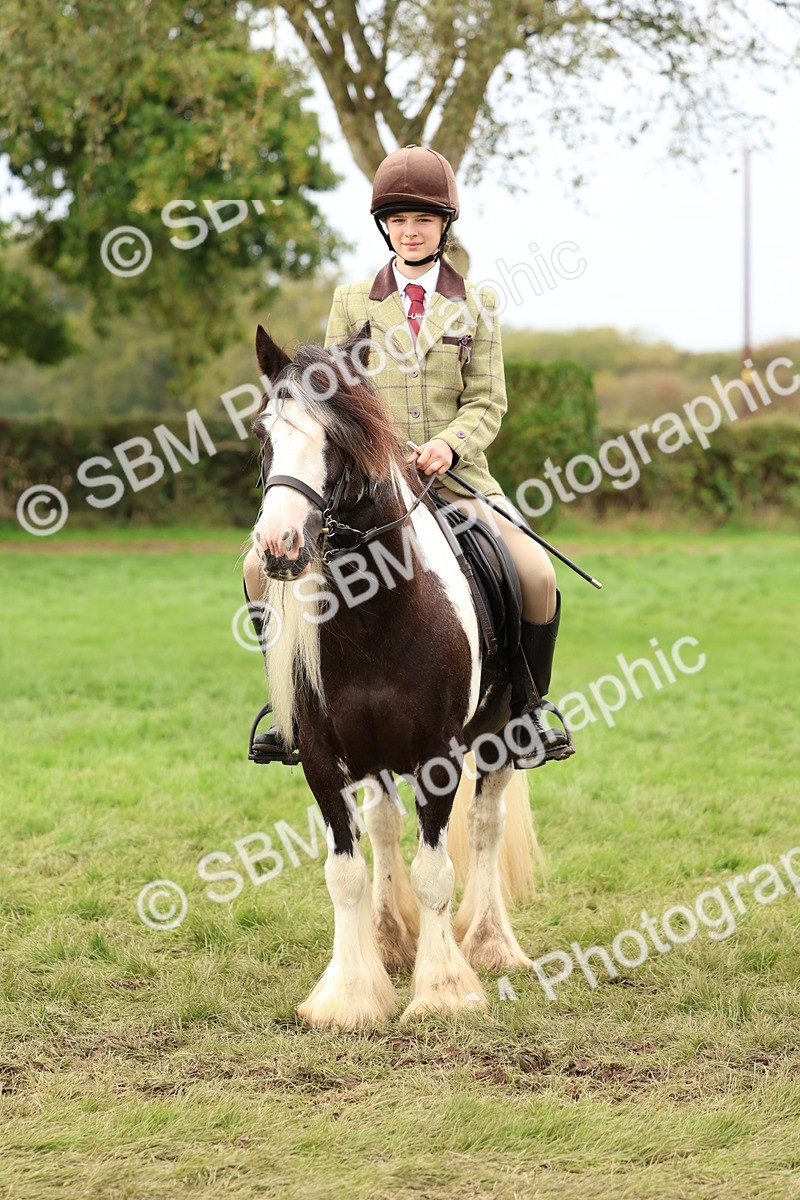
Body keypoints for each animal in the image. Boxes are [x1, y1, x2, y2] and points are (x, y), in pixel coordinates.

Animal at [249, 321, 541, 1029]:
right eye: (265, 434)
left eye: (337, 440)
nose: (278, 547)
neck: (374, 613)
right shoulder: (321, 758)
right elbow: (345, 872)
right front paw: (350, 995)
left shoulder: (439, 754)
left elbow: (437, 869)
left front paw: (443, 993)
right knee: (382, 829)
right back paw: (388, 940)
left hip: (499, 737)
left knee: (484, 829)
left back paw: (490, 945)